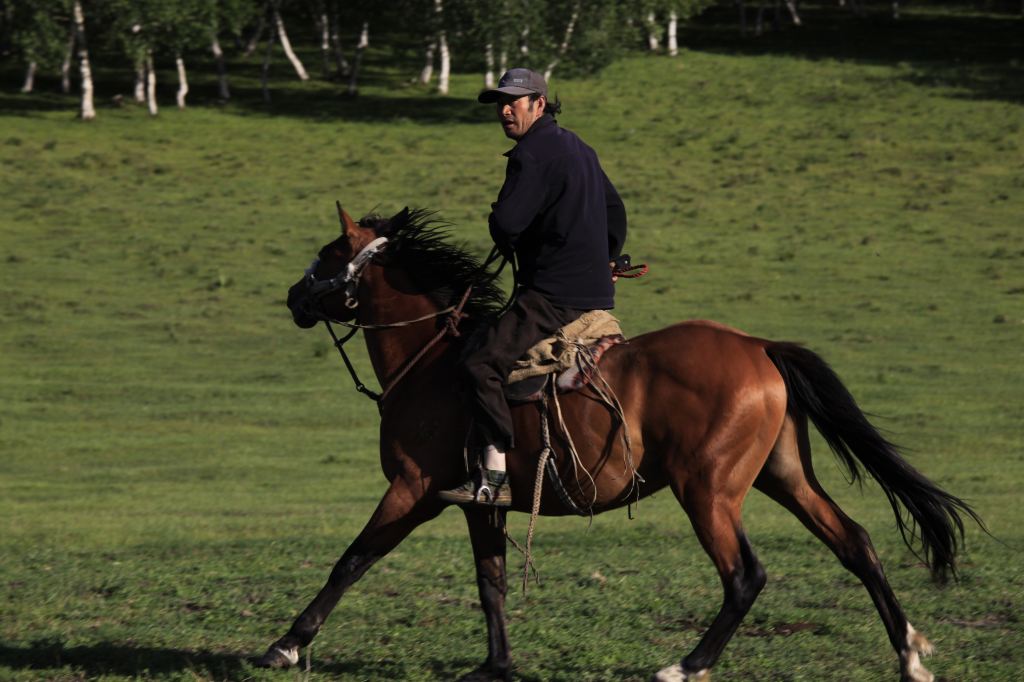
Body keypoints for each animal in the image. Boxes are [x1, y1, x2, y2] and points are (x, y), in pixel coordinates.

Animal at [256, 206, 974, 679]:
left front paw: (286, 644)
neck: (432, 359)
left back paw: (689, 664)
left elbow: (351, 560)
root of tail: (758, 346)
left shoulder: (413, 490)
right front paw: (498, 664)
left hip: (708, 490)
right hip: (783, 475)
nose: (292, 295)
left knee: (745, 575)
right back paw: (908, 653)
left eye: (328, 253)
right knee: (856, 542)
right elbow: (491, 581)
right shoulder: (482, 503)